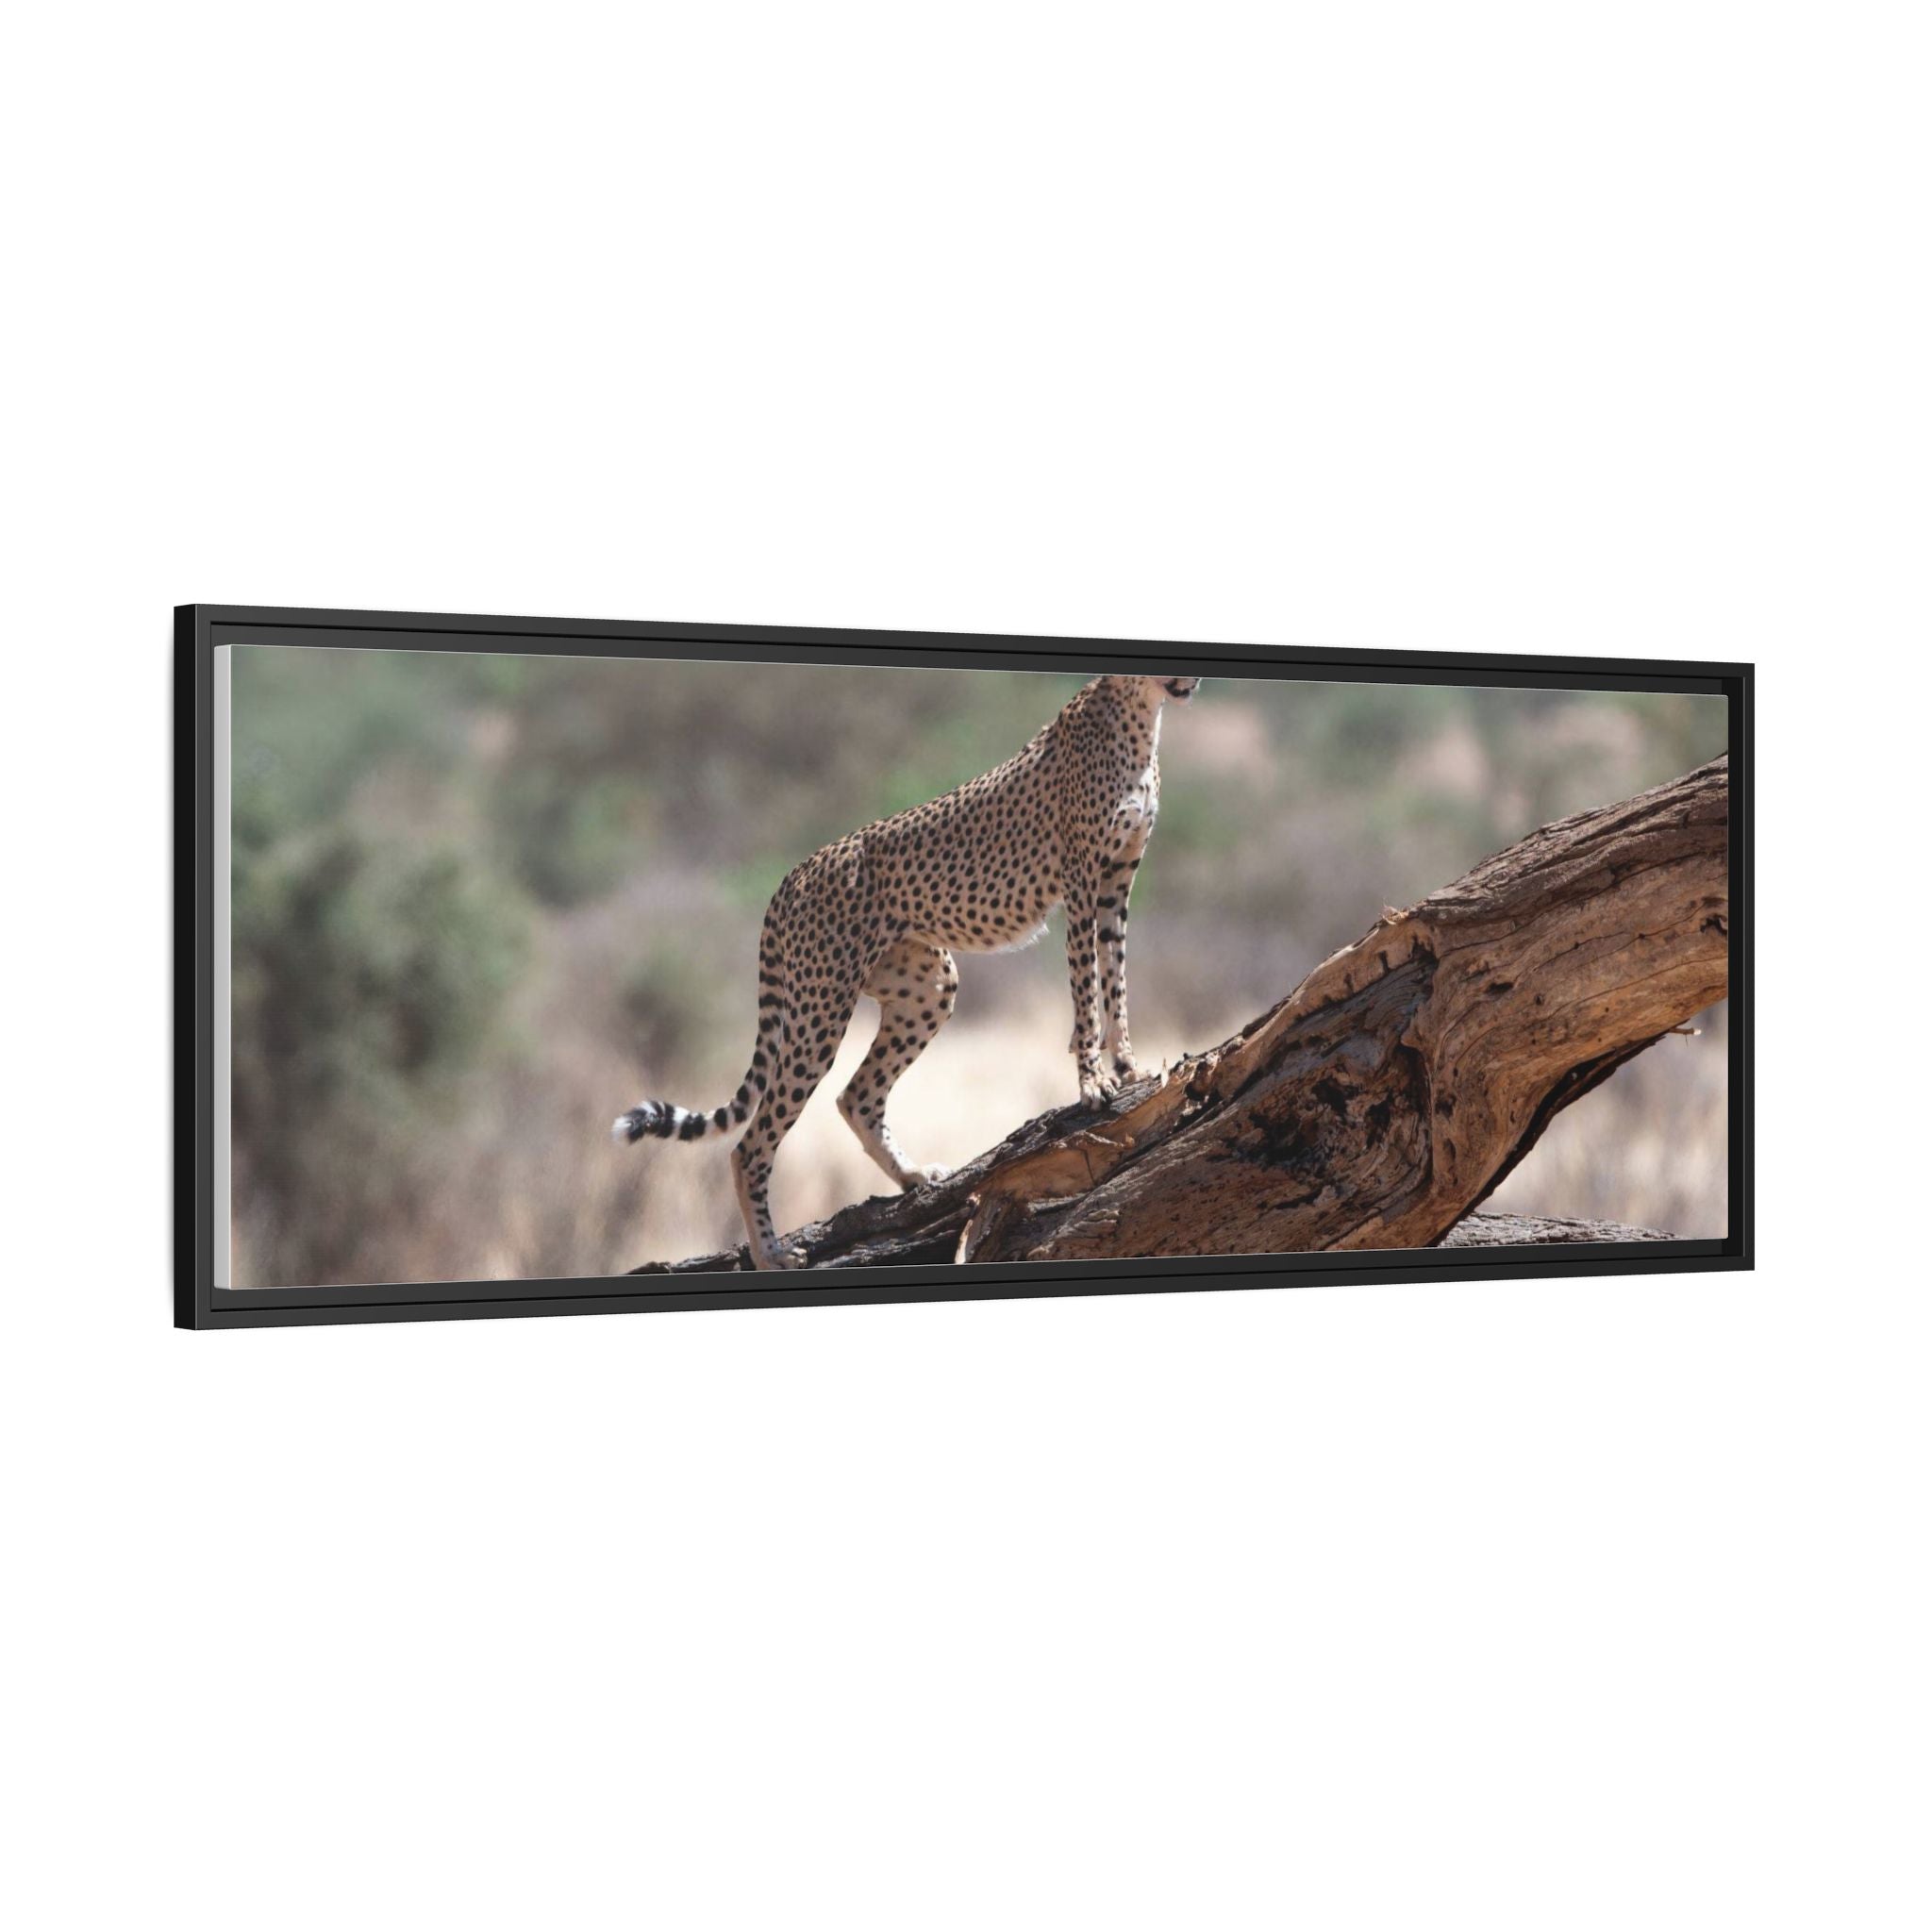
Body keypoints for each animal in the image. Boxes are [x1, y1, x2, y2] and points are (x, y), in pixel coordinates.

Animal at [612, 672, 1202, 1269]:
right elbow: (1086, 988)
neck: (1140, 715)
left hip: (928, 987)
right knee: (751, 1144)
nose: (1193, 681)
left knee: (856, 1097)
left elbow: (1115, 978)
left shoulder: (1117, 881)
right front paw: (1092, 1081)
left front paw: (1128, 1067)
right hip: (820, 1009)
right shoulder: (1081, 880)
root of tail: (795, 872)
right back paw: (770, 1253)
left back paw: (913, 1176)